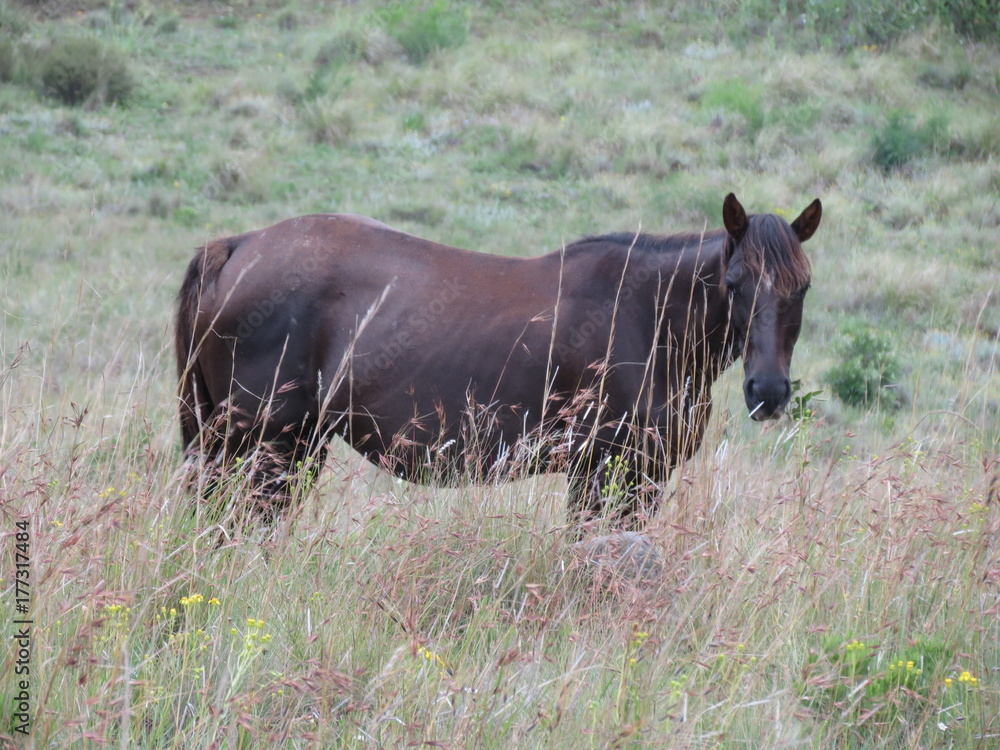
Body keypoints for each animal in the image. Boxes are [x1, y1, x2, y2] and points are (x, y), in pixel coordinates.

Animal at [175, 193, 820, 528]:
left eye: (803, 288)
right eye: (734, 284)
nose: (768, 392)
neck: (645, 316)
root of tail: (237, 246)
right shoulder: (606, 470)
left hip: (289, 446)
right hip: (262, 446)